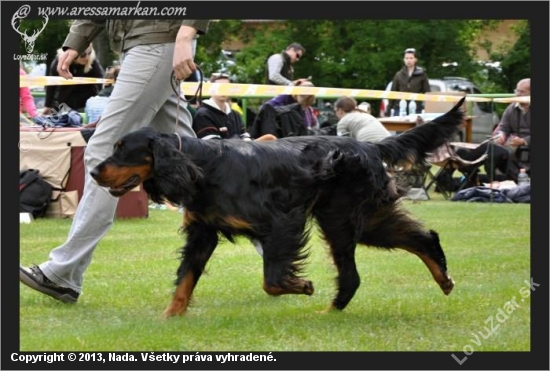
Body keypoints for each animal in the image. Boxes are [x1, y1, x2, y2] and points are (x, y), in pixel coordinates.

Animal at [91, 98, 466, 316]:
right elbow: (186, 278)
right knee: (421, 239)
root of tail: (370, 147)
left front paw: (301, 286)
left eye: (123, 149)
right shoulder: (203, 231)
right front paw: (170, 316)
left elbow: (271, 280)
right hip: (364, 218)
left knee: (354, 273)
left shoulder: (280, 223)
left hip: (340, 218)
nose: (94, 171)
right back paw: (442, 279)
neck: (202, 166)